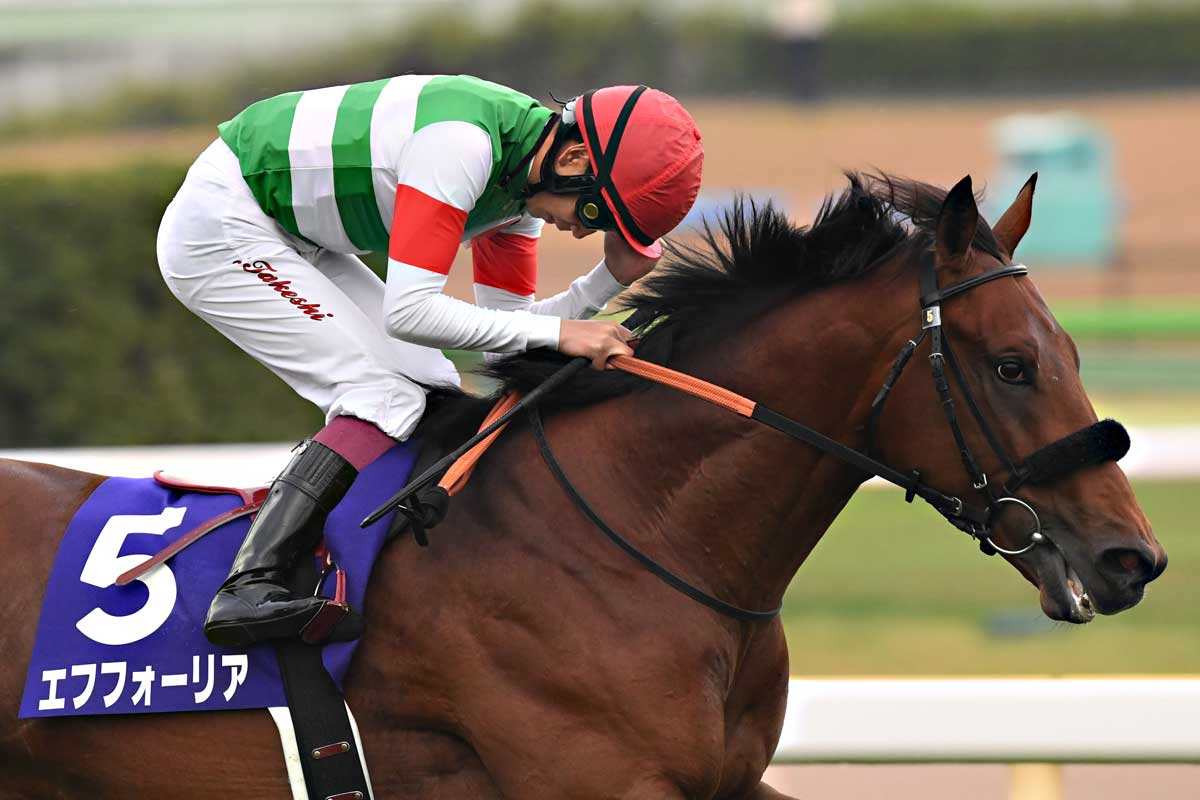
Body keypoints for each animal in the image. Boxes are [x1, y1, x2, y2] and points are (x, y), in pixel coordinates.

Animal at [1, 173, 1166, 799]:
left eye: (1071, 349)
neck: (641, 533)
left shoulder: (727, 778)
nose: (1134, 556)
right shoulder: (595, 775)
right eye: (1012, 365)